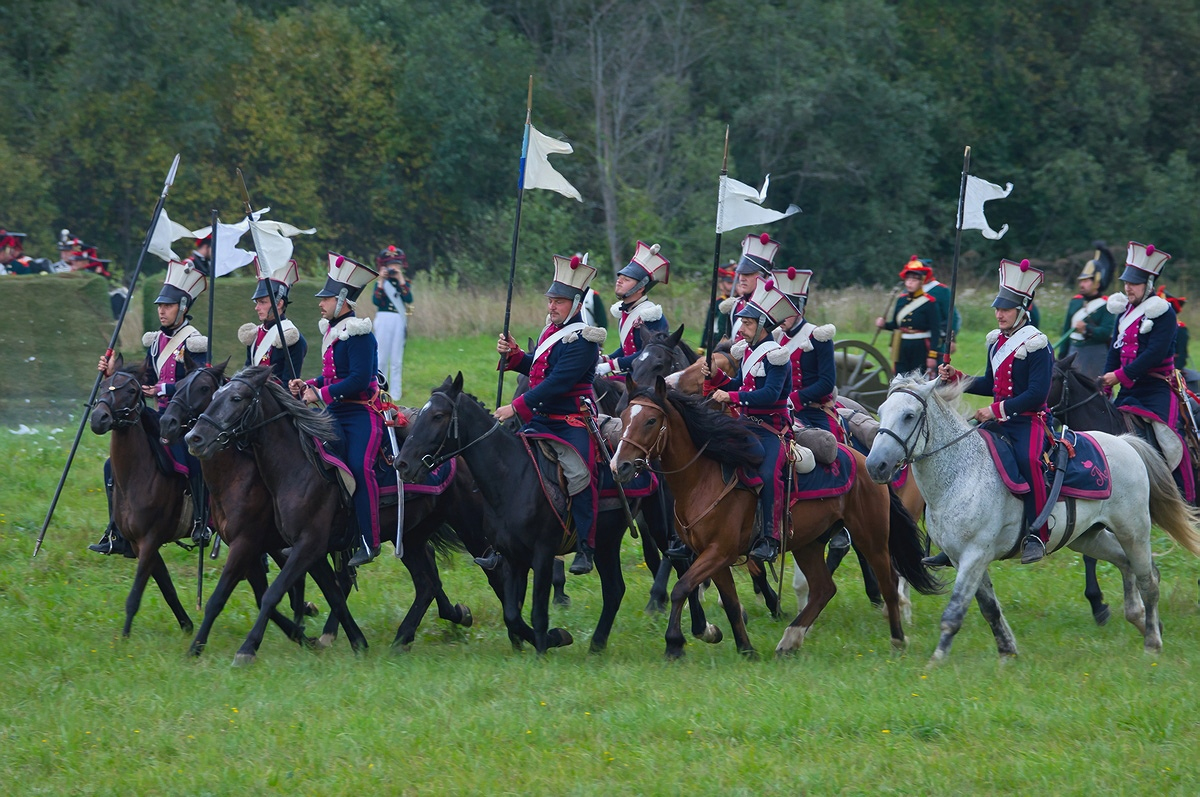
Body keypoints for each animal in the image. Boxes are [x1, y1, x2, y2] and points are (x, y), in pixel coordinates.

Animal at [89, 357, 196, 638]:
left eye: (131, 391)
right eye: (103, 384)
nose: (98, 418)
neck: (140, 473)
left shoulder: (150, 540)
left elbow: (135, 594)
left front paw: (124, 637)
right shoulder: (141, 544)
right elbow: (167, 588)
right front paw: (187, 625)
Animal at [398, 374, 720, 652]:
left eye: (438, 416)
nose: (402, 463)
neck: (512, 475)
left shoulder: (542, 554)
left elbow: (537, 611)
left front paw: (544, 647)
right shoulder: (513, 557)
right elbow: (512, 613)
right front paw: (547, 640)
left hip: (659, 526)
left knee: (682, 565)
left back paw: (699, 629)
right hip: (606, 541)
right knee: (615, 589)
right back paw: (597, 645)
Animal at [609, 376, 936, 657]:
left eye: (651, 420)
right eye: (624, 417)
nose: (619, 466)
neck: (703, 478)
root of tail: (864, 459)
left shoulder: (718, 552)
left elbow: (680, 589)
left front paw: (675, 643)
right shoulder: (712, 556)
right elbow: (728, 601)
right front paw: (742, 647)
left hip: (871, 536)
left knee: (887, 581)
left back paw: (897, 639)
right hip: (809, 544)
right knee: (823, 588)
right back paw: (791, 639)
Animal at [864, 376, 1200, 662]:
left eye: (909, 415)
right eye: (880, 411)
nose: (875, 465)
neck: (962, 473)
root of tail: (1125, 442)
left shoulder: (974, 555)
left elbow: (955, 612)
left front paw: (937, 659)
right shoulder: (963, 559)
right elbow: (990, 609)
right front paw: (1007, 651)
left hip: (1134, 531)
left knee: (1148, 580)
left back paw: (1152, 642)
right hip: (1087, 538)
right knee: (1125, 563)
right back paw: (1140, 619)